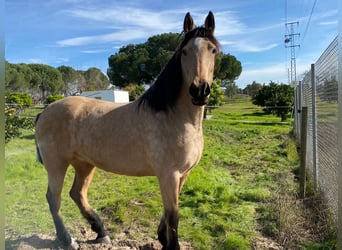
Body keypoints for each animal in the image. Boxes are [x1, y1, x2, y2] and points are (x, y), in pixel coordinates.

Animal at [34, 10, 220, 249]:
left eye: (213, 50)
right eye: (185, 51)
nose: (199, 91)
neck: (176, 117)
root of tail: (44, 112)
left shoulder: (182, 175)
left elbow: (168, 213)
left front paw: (162, 237)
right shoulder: (169, 174)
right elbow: (173, 216)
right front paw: (169, 243)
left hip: (84, 163)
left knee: (77, 193)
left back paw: (100, 231)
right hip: (57, 164)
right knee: (54, 198)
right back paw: (67, 239)